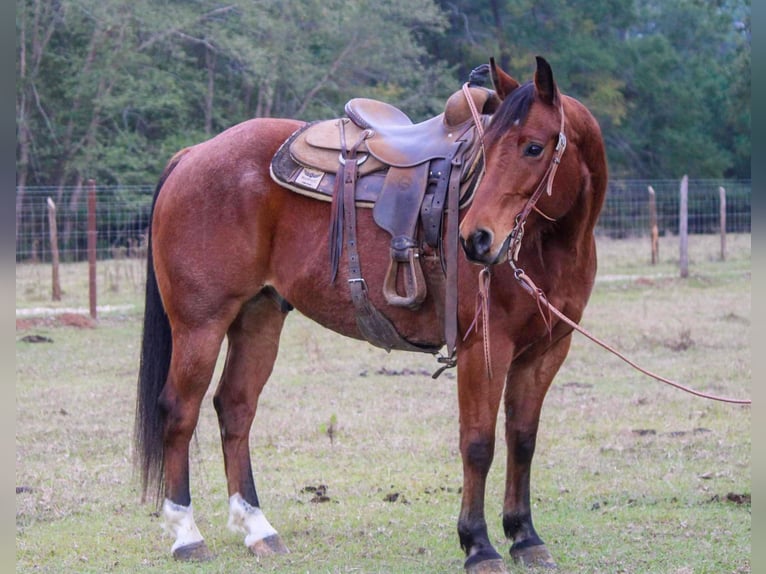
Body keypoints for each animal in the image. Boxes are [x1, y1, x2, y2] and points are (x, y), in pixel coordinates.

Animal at [135, 55, 608, 574]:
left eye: (533, 147)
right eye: (489, 148)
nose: (476, 239)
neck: (548, 245)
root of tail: (193, 154)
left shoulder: (545, 351)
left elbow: (522, 439)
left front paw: (525, 537)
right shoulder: (484, 349)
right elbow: (478, 444)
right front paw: (478, 545)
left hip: (258, 318)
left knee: (235, 409)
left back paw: (258, 528)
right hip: (200, 325)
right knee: (179, 411)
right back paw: (186, 533)